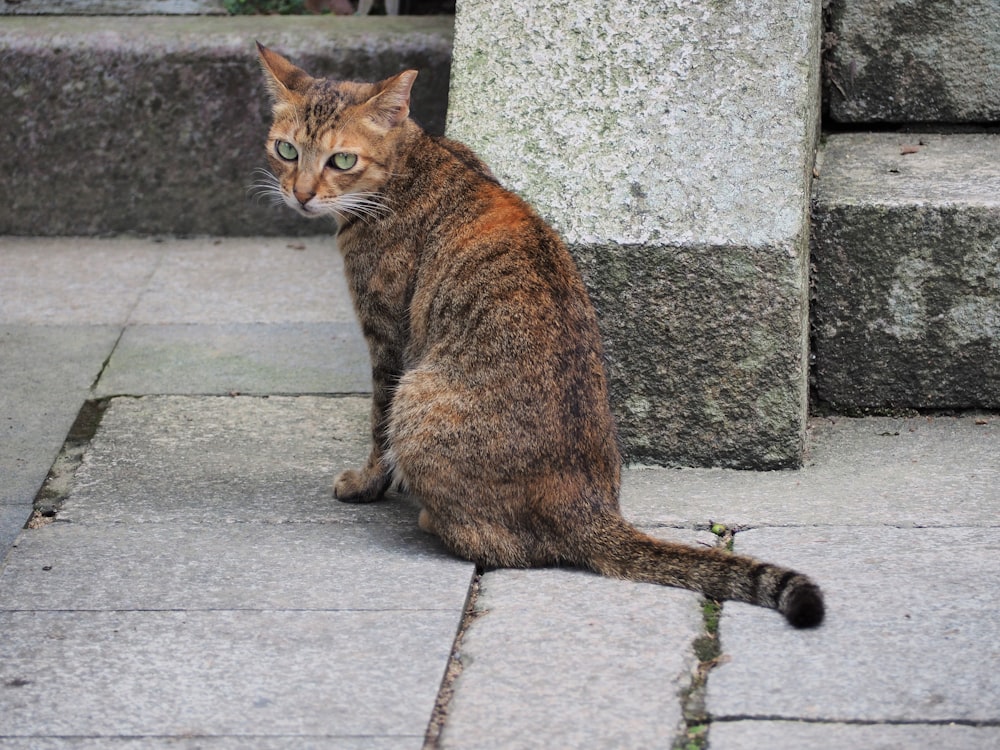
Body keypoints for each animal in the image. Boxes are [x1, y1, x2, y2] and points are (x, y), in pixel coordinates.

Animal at [256, 45, 820, 628]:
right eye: (286, 150)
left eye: (341, 161)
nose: (301, 195)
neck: (413, 159)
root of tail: (592, 509)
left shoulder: (387, 340)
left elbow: (375, 427)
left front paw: (367, 483)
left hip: (418, 394)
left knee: (501, 545)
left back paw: (433, 518)